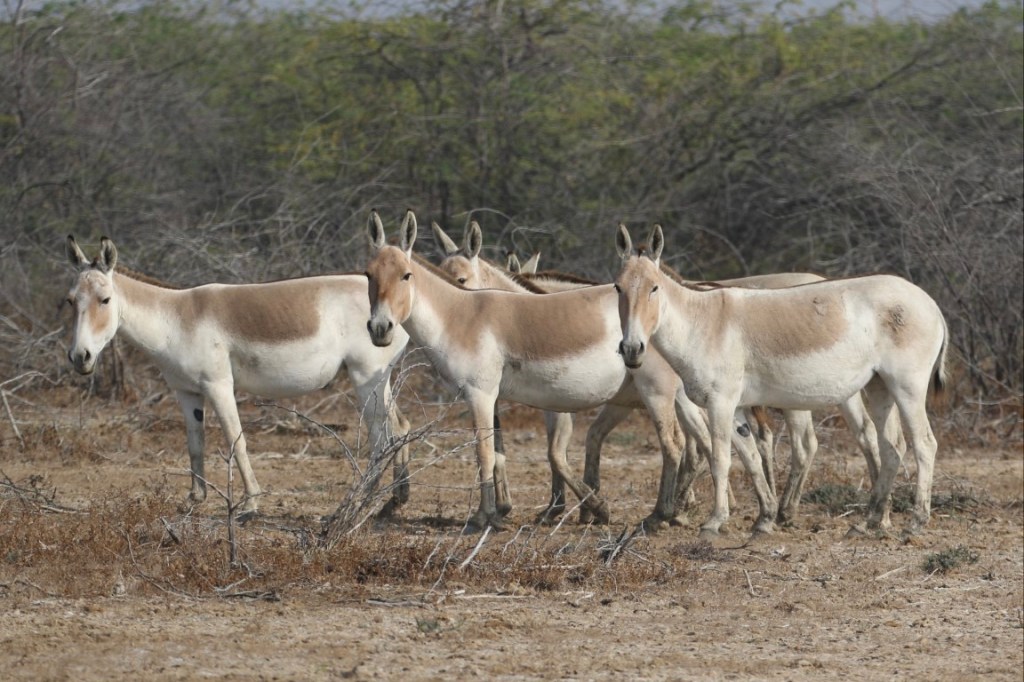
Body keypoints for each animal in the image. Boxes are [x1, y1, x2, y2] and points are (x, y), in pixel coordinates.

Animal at [64, 235, 412, 517]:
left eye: (105, 300)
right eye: (70, 300)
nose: (80, 357)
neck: (175, 319)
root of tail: (400, 311)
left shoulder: (218, 385)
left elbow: (236, 439)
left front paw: (250, 502)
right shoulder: (186, 392)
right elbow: (195, 442)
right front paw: (194, 499)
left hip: (365, 378)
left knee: (382, 438)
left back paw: (362, 501)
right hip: (379, 380)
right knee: (401, 427)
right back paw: (394, 501)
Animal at [614, 224, 948, 536]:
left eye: (654, 288)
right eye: (618, 288)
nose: (631, 350)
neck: (701, 324)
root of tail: (931, 302)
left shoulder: (720, 402)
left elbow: (721, 459)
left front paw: (715, 522)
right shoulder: (736, 407)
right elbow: (749, 457)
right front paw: (764, 519)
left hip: (908, 386)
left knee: (925, 444)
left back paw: (916, 522)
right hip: (879, 387)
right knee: (893, 447)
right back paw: (869, 522)